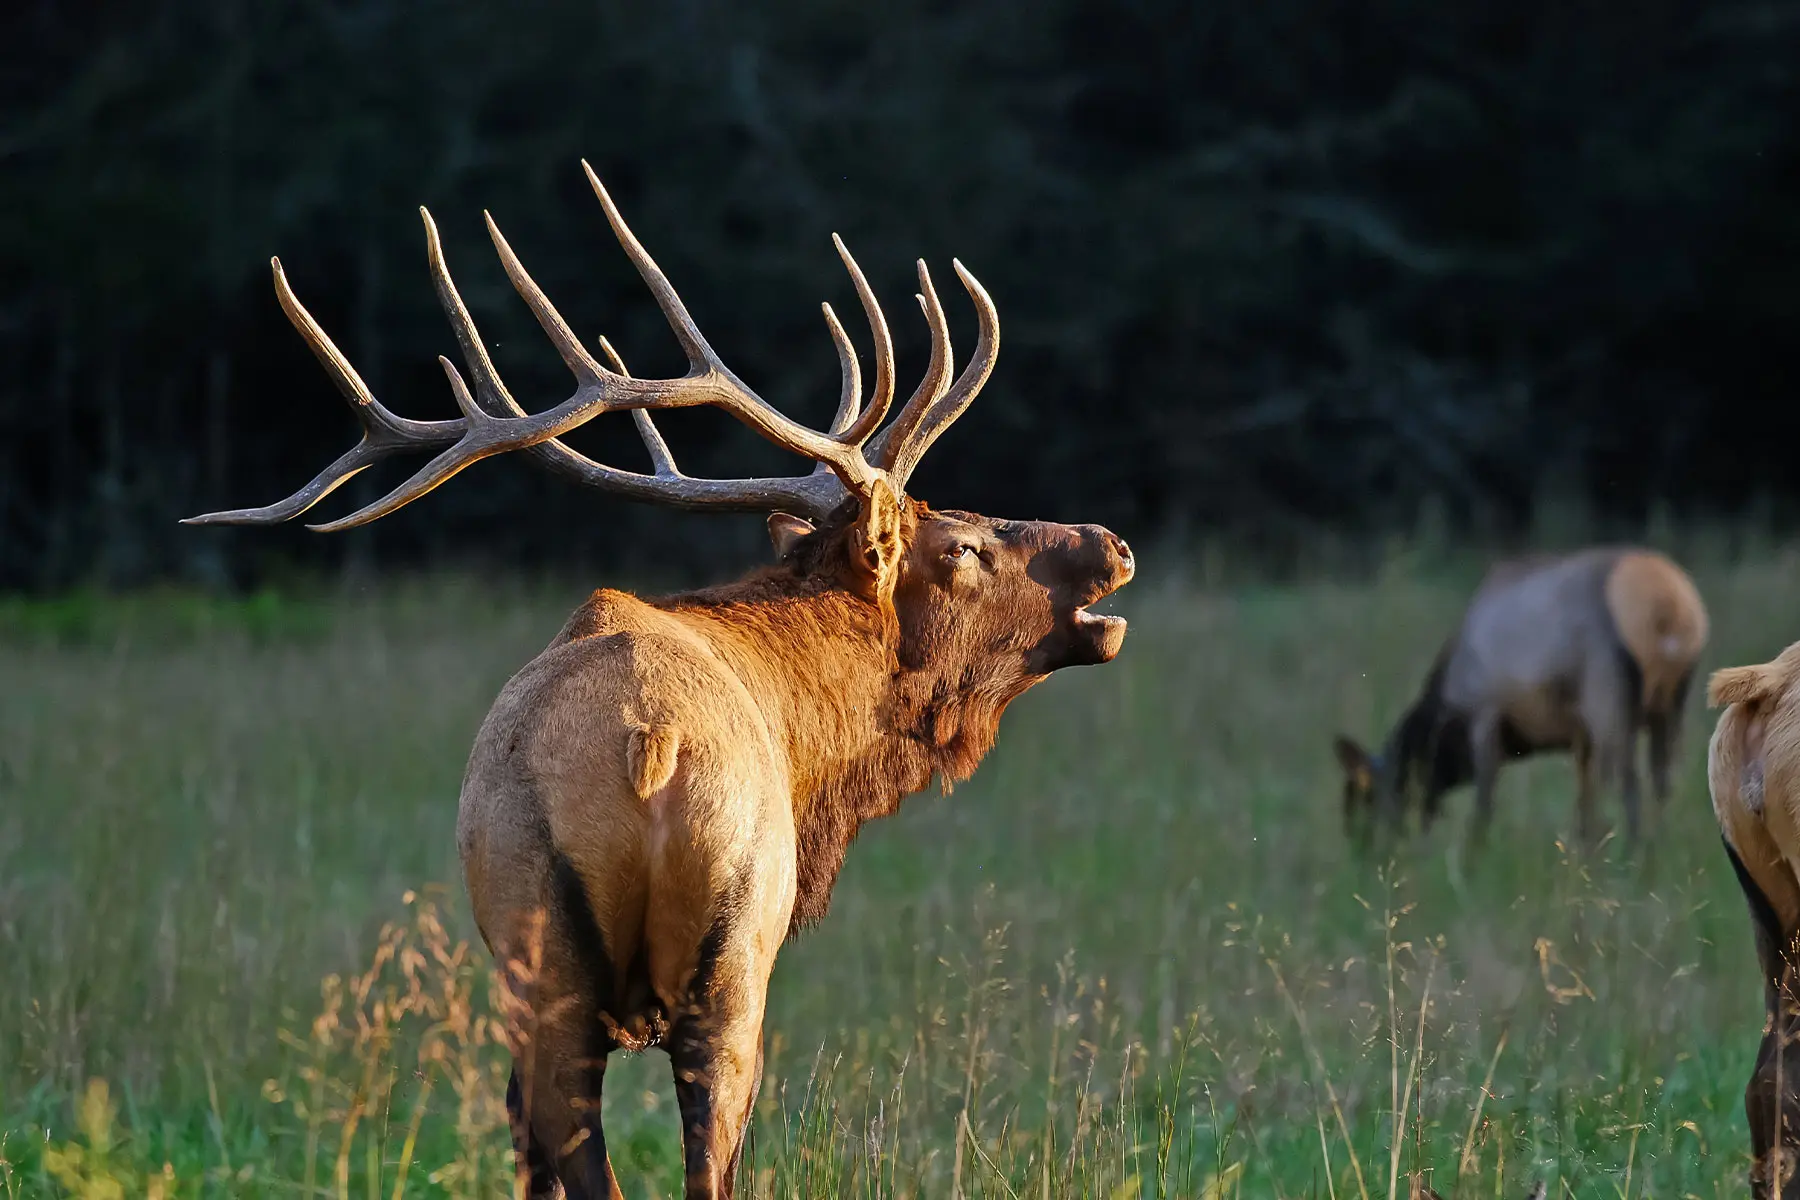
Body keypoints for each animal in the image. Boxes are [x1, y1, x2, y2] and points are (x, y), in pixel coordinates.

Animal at [186, 161, 1137, 1200]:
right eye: (962, 546)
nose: (1110, 544)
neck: (812, 754)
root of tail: (653, 743)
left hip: (552, 974)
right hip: (729, 967)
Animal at [1339, 550, 1699, 849]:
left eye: (1366, 798)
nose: (1361, 853)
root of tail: (1670, 607)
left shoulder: (1485, 715)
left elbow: (1484, 803)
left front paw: (1475, 856)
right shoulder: (1580, 738)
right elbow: (1585, 808)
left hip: (1610, 702)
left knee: (1630, 785)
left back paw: (1634, 854)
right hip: (1671, 706)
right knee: (1664, 782)